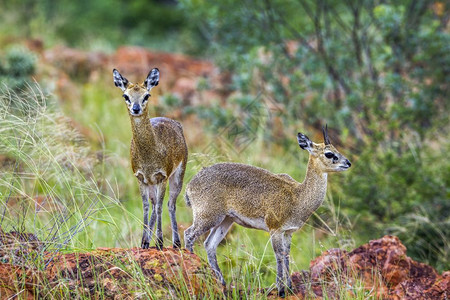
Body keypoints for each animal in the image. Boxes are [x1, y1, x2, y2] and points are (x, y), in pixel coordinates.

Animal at [114, 69, 190, 250]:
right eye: (125, 95)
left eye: (146, 95)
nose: (135, 108)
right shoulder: (141, 178)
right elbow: (147, 206)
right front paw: (144, 242)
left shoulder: (162, 176)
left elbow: (160, 207)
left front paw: (160, 241)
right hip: (152, 183)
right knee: (155, 204)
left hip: (178, 174)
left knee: (170, 204)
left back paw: (176, 243)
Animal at [184, 125, 352, 296]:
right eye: (329, 153)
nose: (348, 163)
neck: (298, 196)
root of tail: (190, 185)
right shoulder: (275, 229)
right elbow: (278, 255)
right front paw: (280, 289)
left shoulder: (288, 232)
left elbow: (286, 254)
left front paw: (289, 286)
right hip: (208, 217)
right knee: (189, 234)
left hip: (225, 221)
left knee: (209, 245)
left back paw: (222, 283)